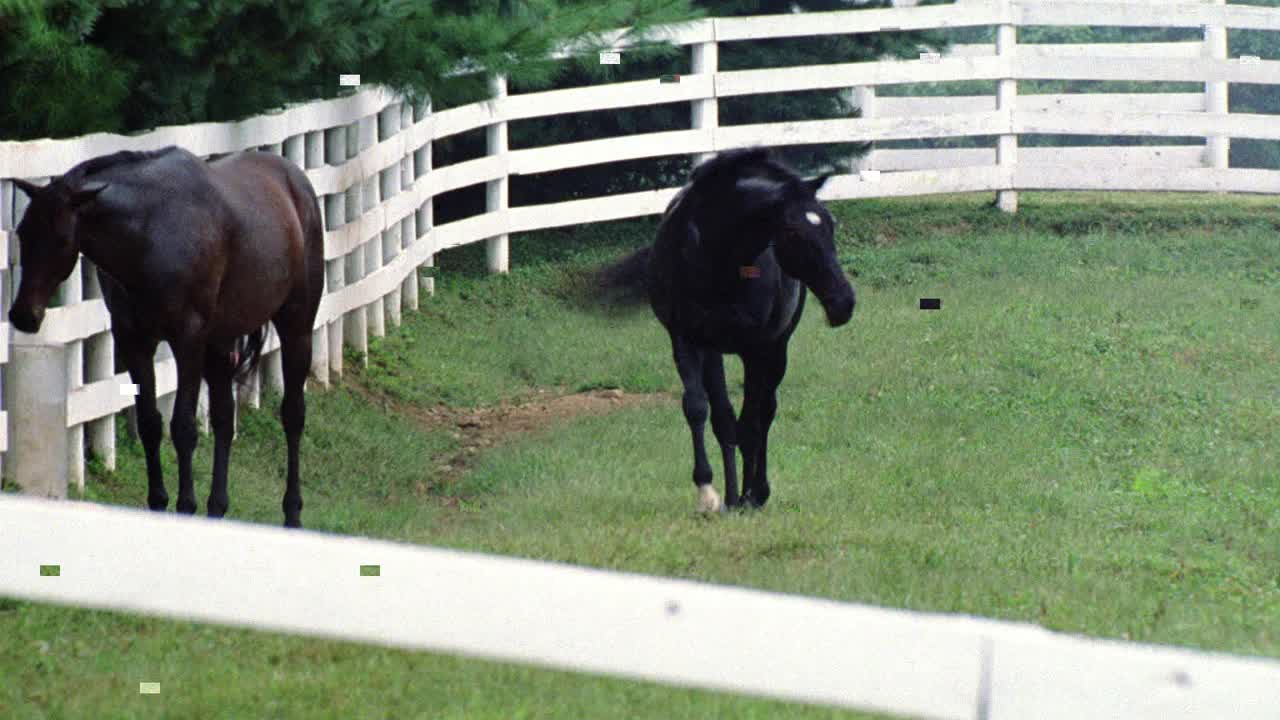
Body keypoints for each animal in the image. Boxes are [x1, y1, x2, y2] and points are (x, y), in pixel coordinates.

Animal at [10, 146, 325, 527]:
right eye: (23, 232)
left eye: (60, 239)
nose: (23, 314)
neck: (150, 232)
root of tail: (295, 181)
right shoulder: (134, 342)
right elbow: (150, 423)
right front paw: (158, 502)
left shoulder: (187, 341)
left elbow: (183, 427)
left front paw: (185, 504)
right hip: (220, 343)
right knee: (224, 417)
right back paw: (216, 508)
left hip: (296, 327)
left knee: (293, 415)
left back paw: (292, 513)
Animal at [601, 146, 860, 509]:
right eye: (793, 232)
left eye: (830, 226)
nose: (843, 303)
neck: (717, 257)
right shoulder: (689, 340)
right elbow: (702, 410)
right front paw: (709, 492)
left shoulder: (757, 349)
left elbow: (751, 421)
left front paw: (752, 494)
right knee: (727, 419)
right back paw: (733, 495)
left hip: (777, 349)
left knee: (765, 411)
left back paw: (755, 492)